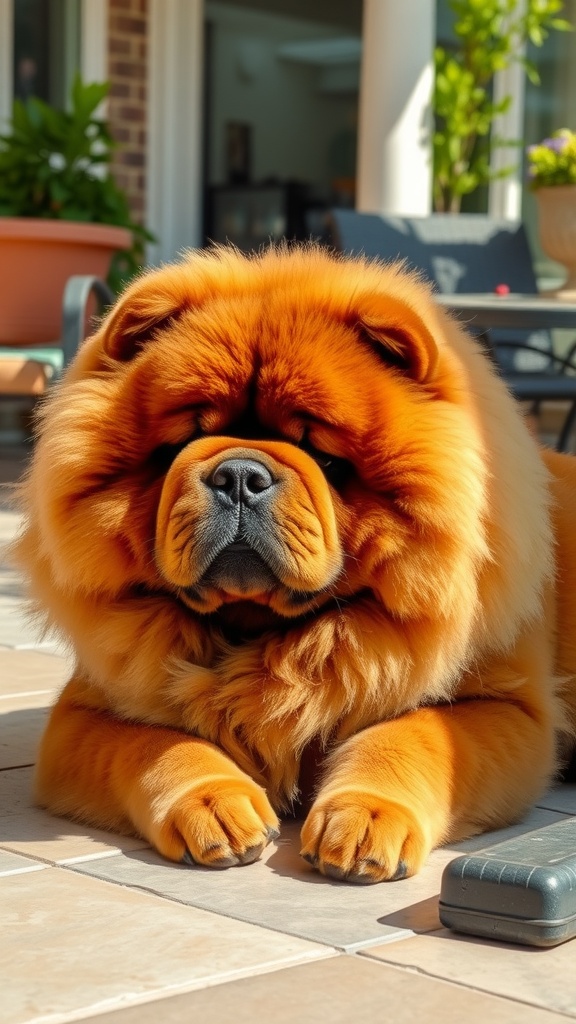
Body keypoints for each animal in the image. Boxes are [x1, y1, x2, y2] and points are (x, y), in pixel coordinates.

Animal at [12, 245, 573, 880]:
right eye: (180, 446)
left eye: (324, 458)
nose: (238, 475)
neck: (267, 634)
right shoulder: (85, 715)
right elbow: (154, 745)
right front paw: (217, 806)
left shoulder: (503, 707)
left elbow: (412, 734)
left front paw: (363, 818)